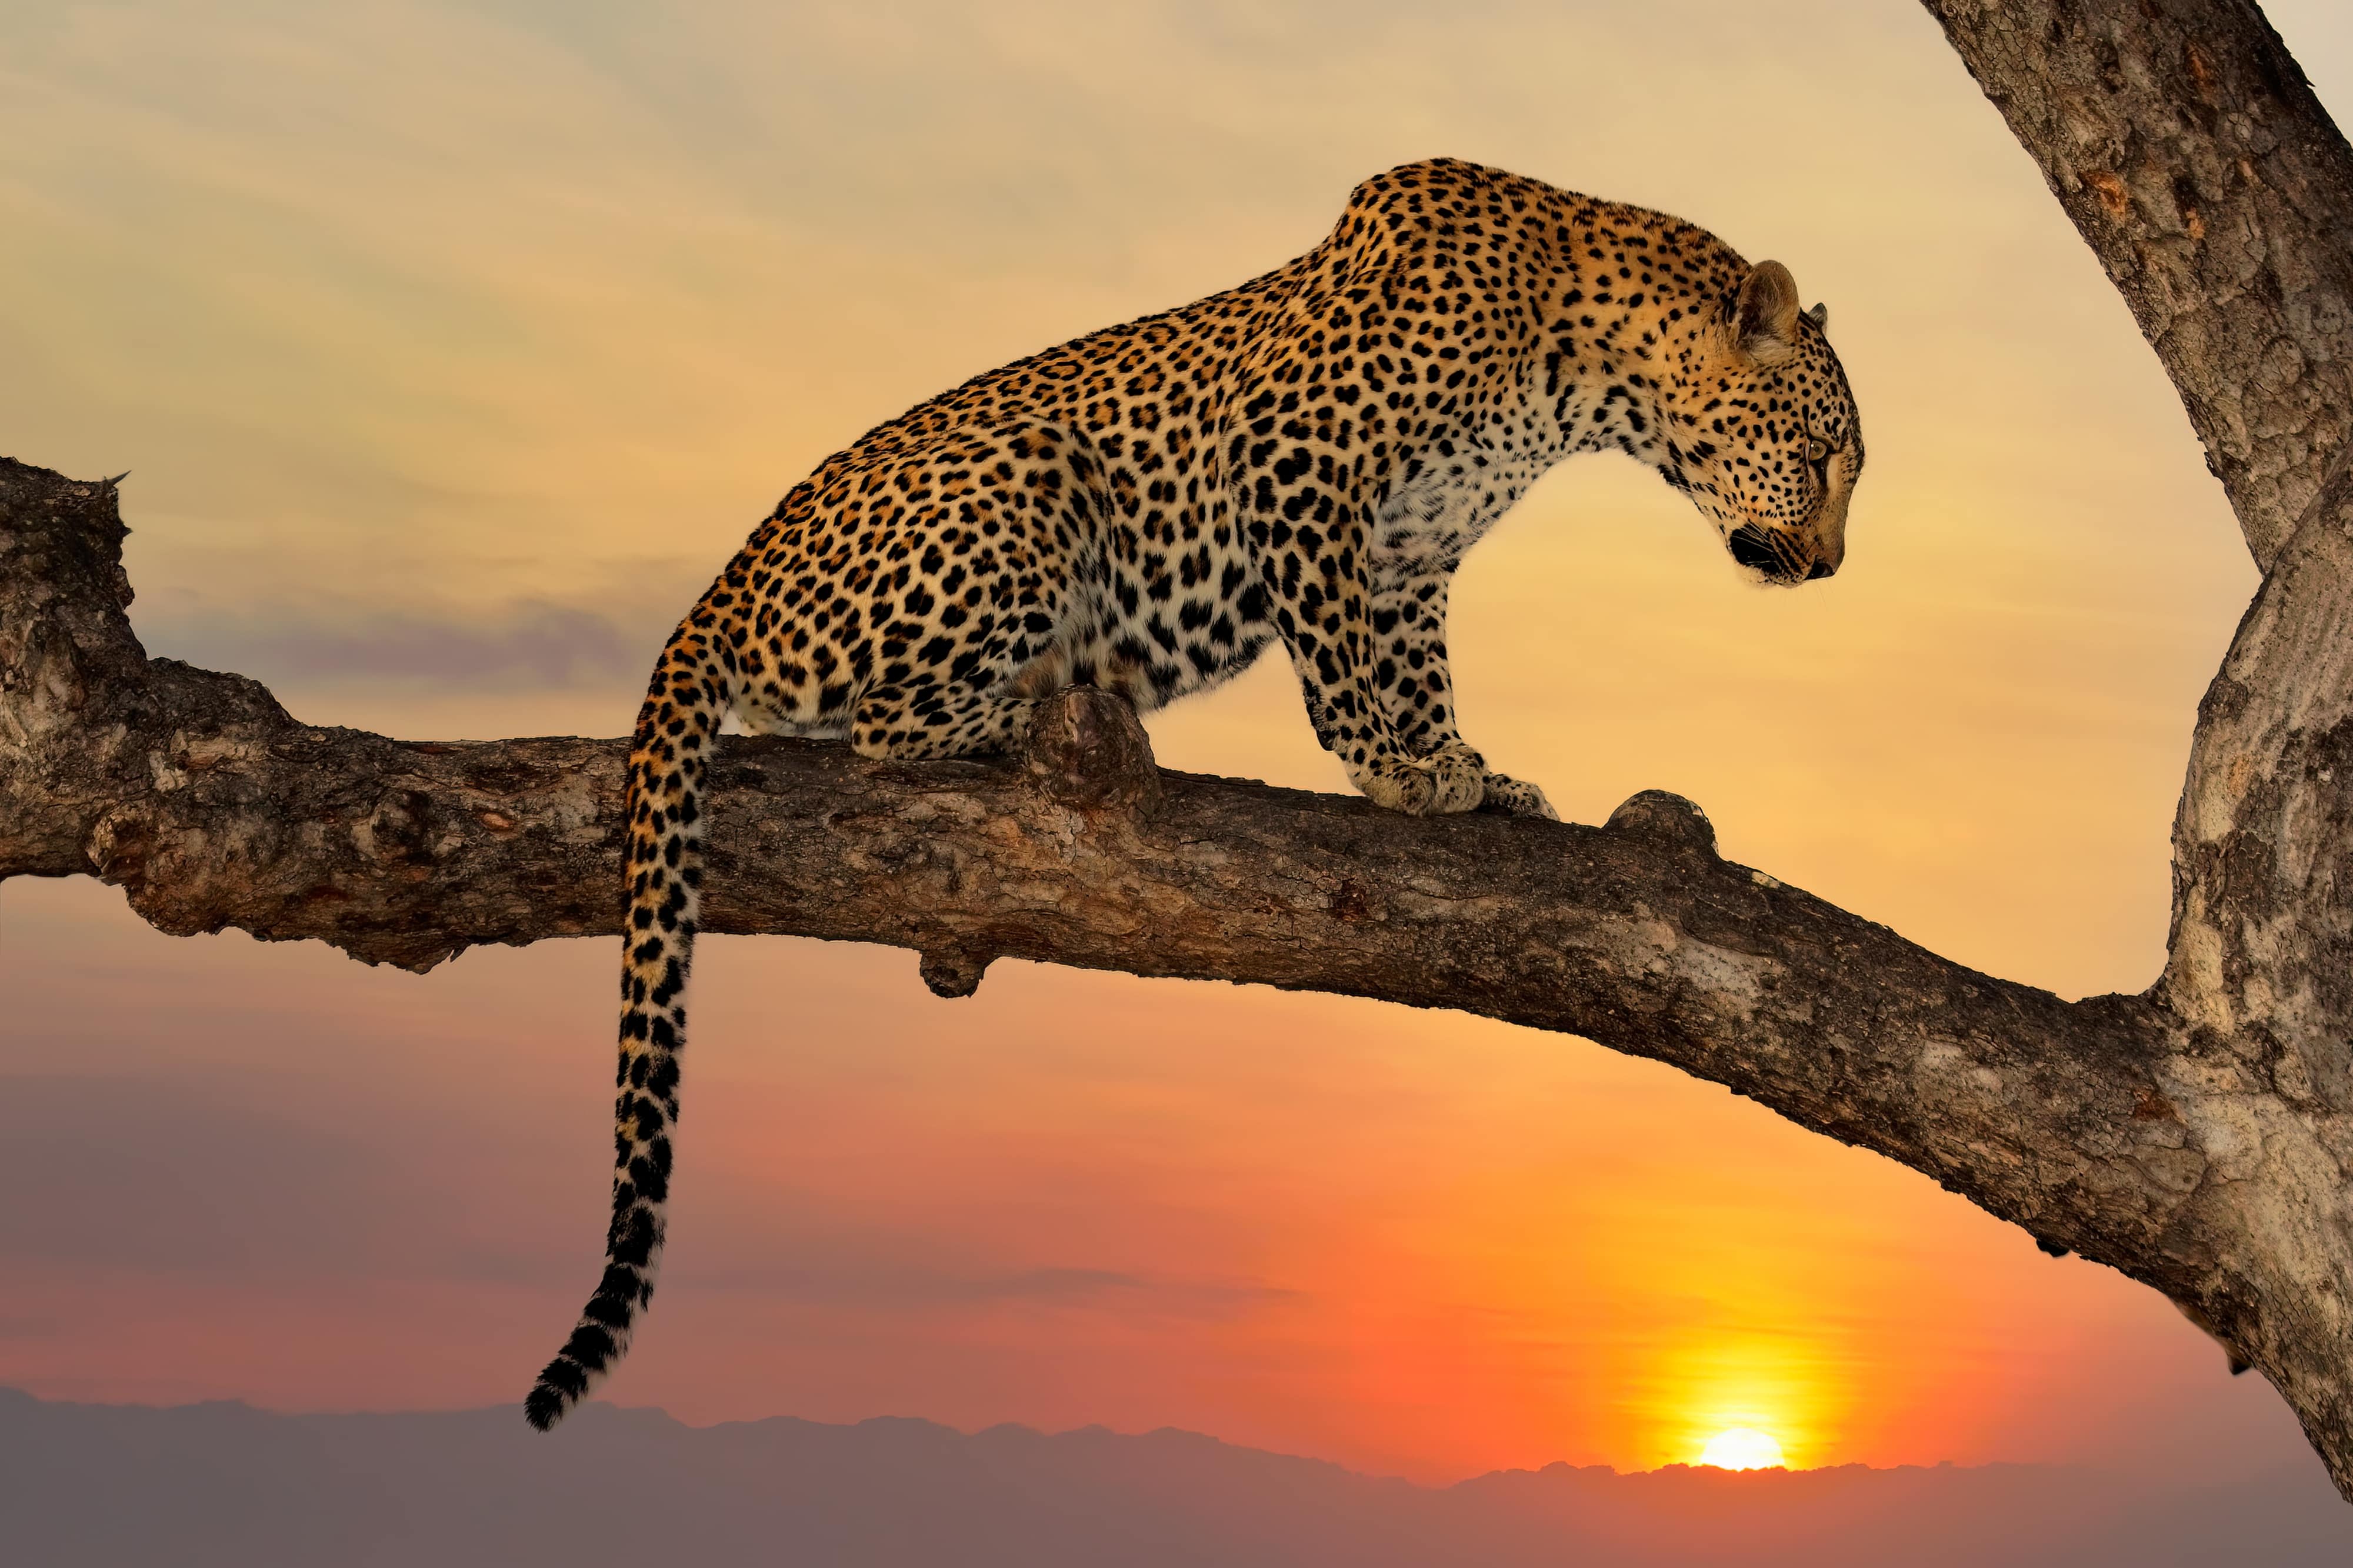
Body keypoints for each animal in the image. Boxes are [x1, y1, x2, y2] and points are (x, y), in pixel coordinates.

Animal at [523, 156, 1864, 1430]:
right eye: (1819, 459)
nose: (1830, 567)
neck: (1581, 375)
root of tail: (721, 587)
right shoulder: (1296, 465)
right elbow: (1340, 657)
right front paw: (1391, 766)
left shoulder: (1412, 549)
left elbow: (1418, 662)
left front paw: (1470, 773)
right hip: (1031, 472)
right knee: (884, 725)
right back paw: (1040, 705)